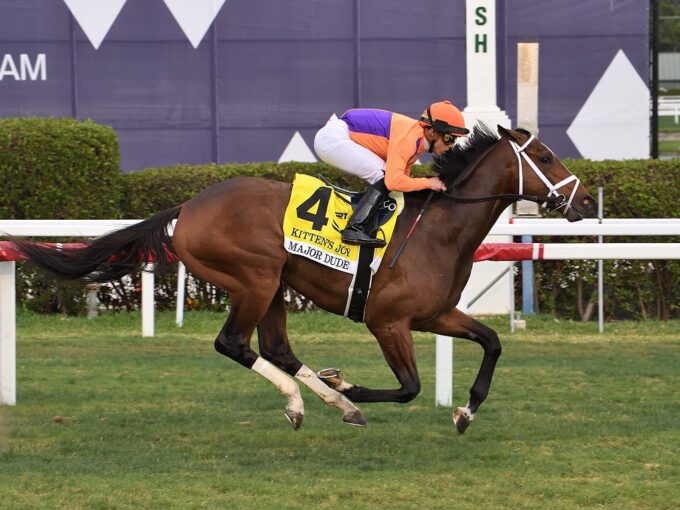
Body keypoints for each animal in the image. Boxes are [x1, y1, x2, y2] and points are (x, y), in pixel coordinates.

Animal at [10, 123, 596, 434]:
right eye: (545, 156)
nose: (587, 202)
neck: (440, 228)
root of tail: (188, 206)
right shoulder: (388, 321)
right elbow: (408, 387)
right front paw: (351, 384)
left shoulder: (434, 314)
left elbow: (493, 341)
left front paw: (466, 410)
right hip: (254, 278)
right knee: (234, 343)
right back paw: (309, 400)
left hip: (274, 285)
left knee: (276, 348)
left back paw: (327, 400)